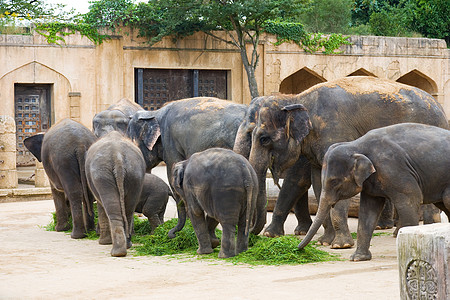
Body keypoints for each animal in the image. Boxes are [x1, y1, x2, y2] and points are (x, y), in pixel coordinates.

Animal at [248, 76, 448, 247]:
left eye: (264, 139)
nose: (251, 234)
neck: (297, 98)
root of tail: (439, 107)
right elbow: (319, 184)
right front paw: (325, 242)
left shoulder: (335, 132)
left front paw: (340, 245)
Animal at [298, 123, 450, 262]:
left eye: (334, 181)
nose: (298, 248)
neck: (356, 145)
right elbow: (368, 211)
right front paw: (357, 258)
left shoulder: (394, 169)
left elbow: (411, 200)